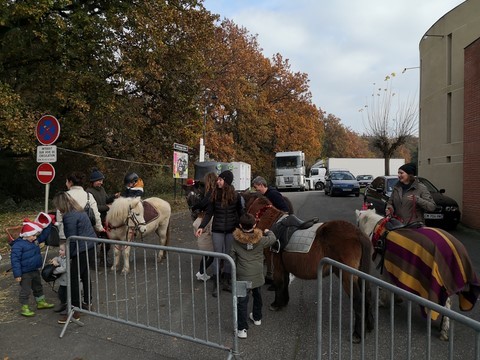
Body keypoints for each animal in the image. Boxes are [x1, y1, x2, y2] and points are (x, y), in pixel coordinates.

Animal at [244, 191, 376, 344]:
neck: (272, 223)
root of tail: (358, 233)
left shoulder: (277, 264)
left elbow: (279, 283)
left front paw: (276, 304)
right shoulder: (283, 265)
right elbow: (285, 282)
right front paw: (284, 302)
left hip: (347, 276)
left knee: (358, 300)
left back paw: (357, 334)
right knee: (368, 296)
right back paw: (369, 326)